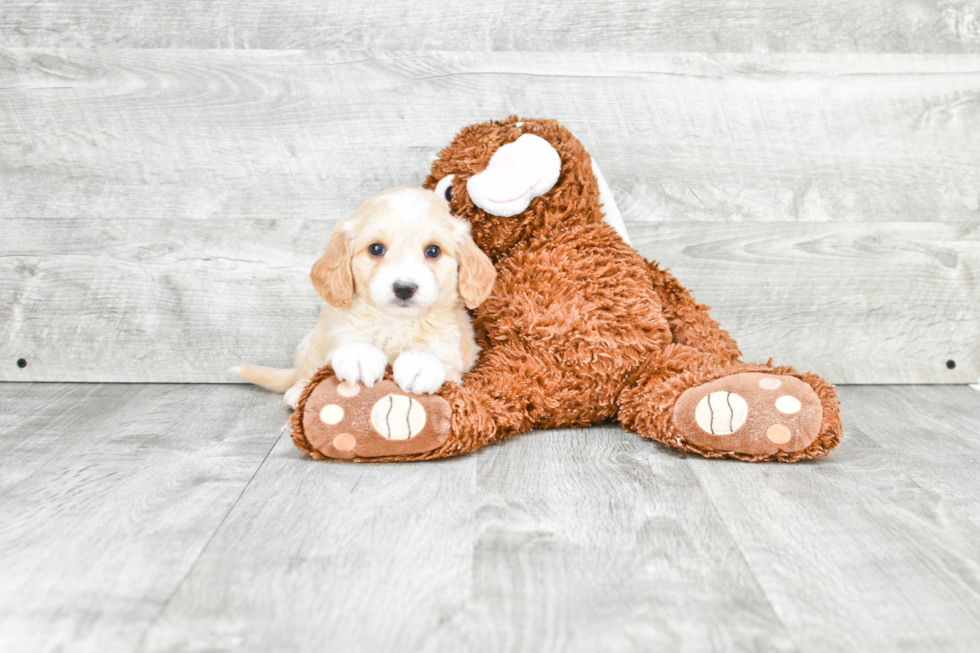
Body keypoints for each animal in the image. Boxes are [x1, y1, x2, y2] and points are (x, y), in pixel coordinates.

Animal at [236, 186, 494, 404]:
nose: (404, 288)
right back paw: (298, 390)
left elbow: (439, 350)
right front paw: (359, 355)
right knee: (306, 371)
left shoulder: (454, 345)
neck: (395, 323)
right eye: (376, 249)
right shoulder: (339, 327)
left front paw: (422, 363)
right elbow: (349, 339)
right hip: (309, 343)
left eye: (433, 251)